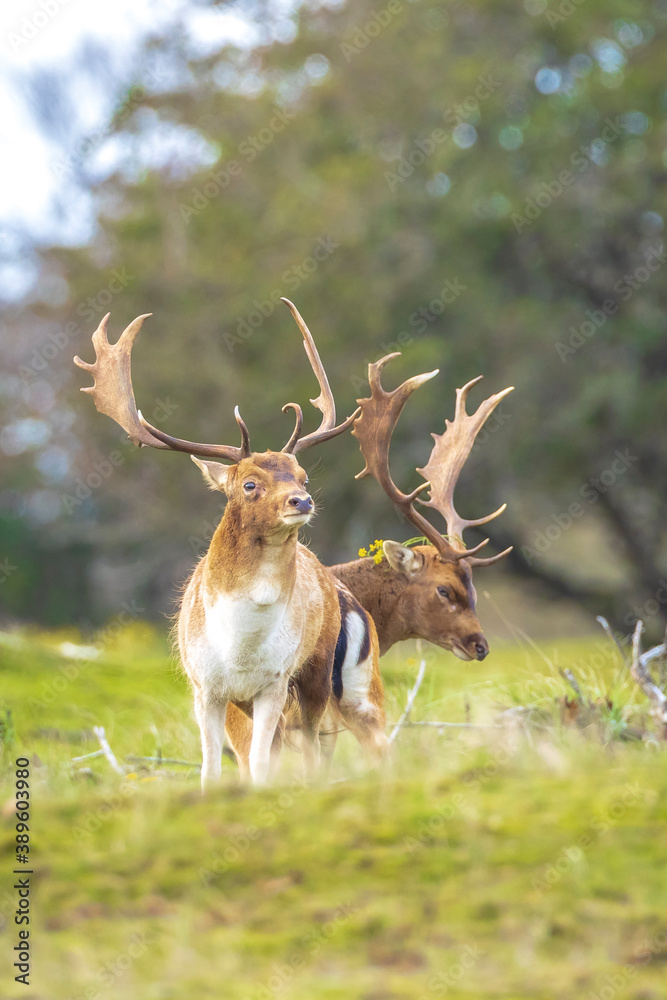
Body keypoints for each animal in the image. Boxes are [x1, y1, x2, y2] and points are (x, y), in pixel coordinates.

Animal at [74, 298, 361, 788]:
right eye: (249, 484)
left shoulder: (275, 681)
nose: (302, 500)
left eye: (303, 476)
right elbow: (210, 767)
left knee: (312, 742)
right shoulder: (204, 686)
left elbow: (263, 763)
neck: (240, 653)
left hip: (317, 669)